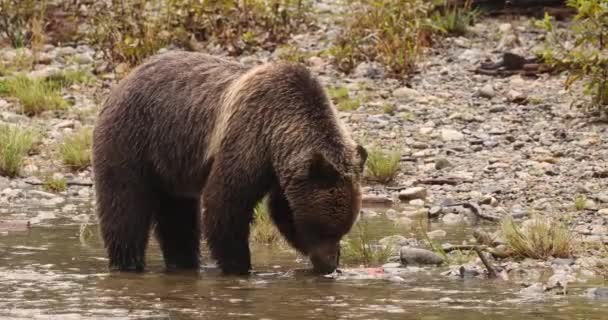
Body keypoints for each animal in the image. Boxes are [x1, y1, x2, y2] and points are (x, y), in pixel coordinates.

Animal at [90, 50, 366, 276]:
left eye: (343, 228)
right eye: (323, 227)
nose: (330, 265)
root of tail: (124, 81)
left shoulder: (282, 172)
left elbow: (282, 210)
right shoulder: (248, 138)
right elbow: (226, 203)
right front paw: (239, 266)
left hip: (171, 164)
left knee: (178, 216)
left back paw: (183, 263)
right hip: (133, 139)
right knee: (125, 205)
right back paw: (127, 262)